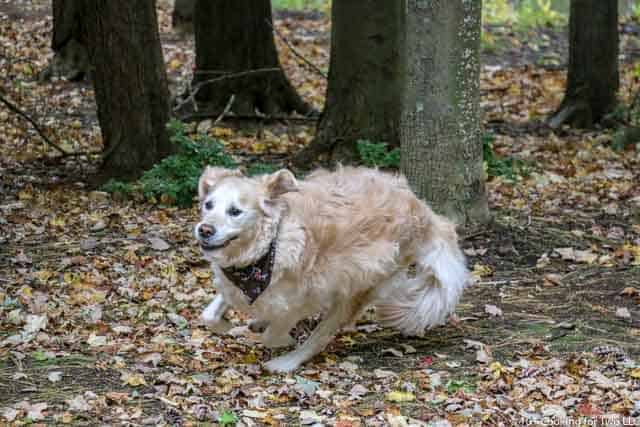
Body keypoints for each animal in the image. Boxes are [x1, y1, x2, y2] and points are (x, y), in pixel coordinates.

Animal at [192, 166, 468, 372]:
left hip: (356, 286)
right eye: (208, 205)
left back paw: (286, 362)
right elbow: (208, 315)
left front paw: (282, 340)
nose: (204, 230)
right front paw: (225, 325)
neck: (270, 245)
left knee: (321, 335)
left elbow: (275, 332)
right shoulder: (232, 283)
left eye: (235, 211)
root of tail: (422, 211)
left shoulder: (301, 300)